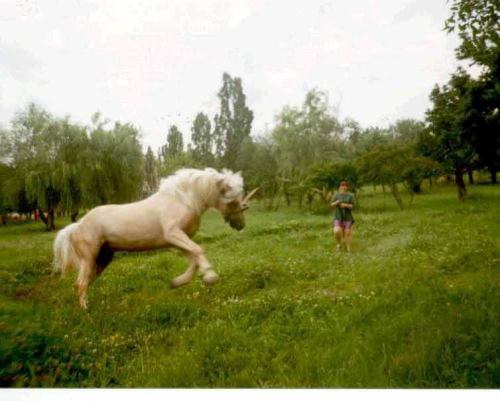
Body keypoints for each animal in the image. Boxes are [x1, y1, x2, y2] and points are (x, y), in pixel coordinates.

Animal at [53, 167, 258, 308]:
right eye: (232, 201)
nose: (240, 225)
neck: (183, 200)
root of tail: (77, 225)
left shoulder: (178, 240)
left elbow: (193, 258)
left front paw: (177, 282)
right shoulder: (174, 234)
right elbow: (199, 251)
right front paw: (211, 277)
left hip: (103, 259)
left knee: (86, 282)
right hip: (89, 258)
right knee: (80, 284)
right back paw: (86, 311)